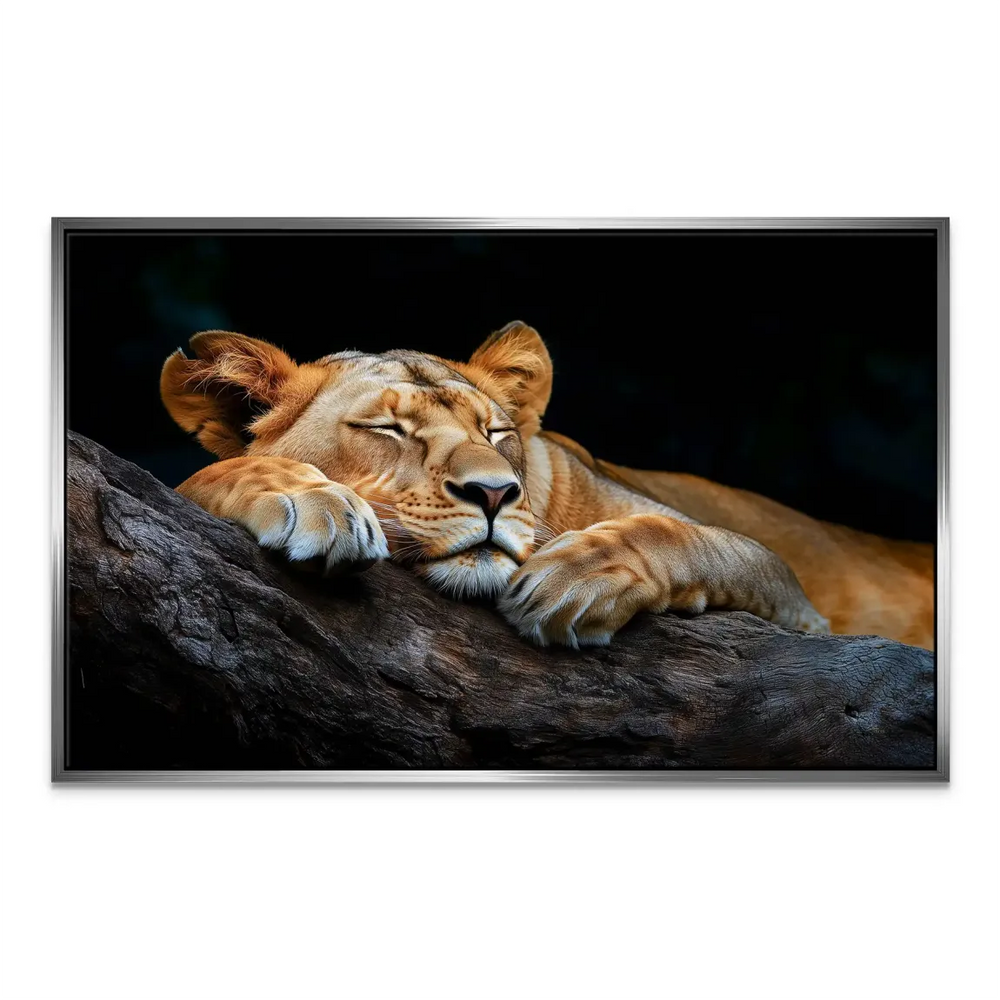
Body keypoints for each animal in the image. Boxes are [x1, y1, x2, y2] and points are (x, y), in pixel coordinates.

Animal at [160, 321, 934, 650]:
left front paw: (577, 579)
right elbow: (202, 473)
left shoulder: (798, 605)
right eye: (387, 429)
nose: (494, 494)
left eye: (497, 432)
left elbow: (688, 536)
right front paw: (309, 497)